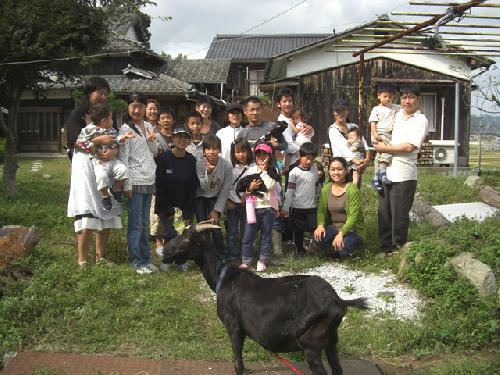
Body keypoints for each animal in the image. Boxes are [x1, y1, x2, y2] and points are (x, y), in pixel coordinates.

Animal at [164, 223, 368, 375]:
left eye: (187, 240)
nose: (164, 251)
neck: (224, 278)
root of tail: (338, 301)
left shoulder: (234, 326)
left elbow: (238, 364)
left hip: (311, 345)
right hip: (331, 340)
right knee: (337, 369)